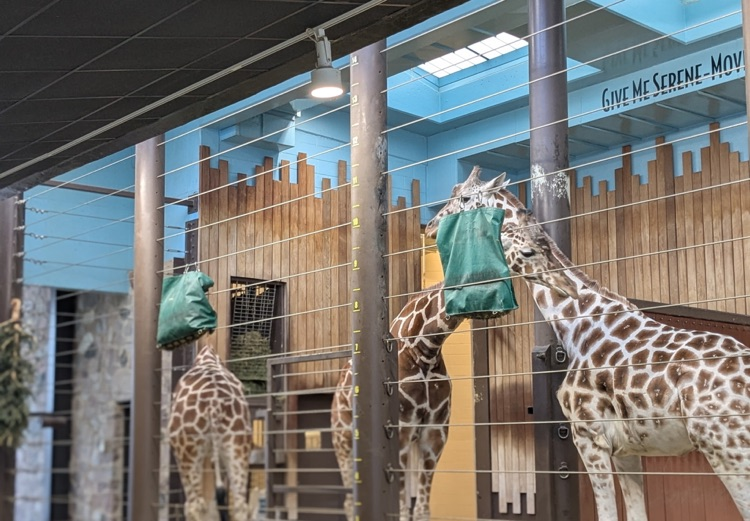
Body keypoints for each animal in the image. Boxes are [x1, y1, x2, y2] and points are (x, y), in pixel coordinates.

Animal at [331, 219, 579, 521]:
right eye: (529, 251)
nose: (568, 284)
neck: (424, 348)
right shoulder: (402, 427)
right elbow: (401, 508)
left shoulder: (434, 431)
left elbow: (421, 510)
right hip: (343, 437)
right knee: (348, 498)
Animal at [424, 166, 750, 521]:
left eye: (464, 198)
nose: (430, 226)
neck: (577, 327)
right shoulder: (626, 449)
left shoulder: (588, 436)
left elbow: (606, 513)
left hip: (726, 447)